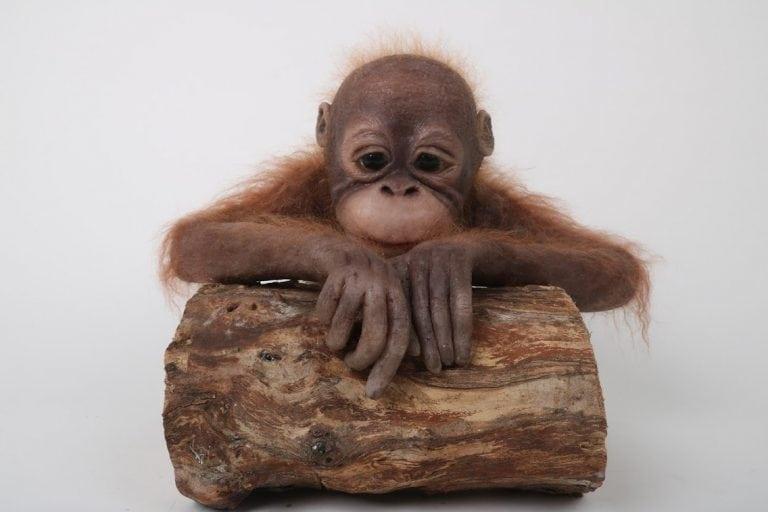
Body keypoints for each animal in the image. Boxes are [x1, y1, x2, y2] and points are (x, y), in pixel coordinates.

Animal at [160, 49, 649, 399]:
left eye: (428, 162)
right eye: (373, 160)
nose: (397, 190)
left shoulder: (494, 204)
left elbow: (611, 265)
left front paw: (441, 261)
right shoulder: (301, 184)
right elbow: (198, 238)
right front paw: (360, 269)